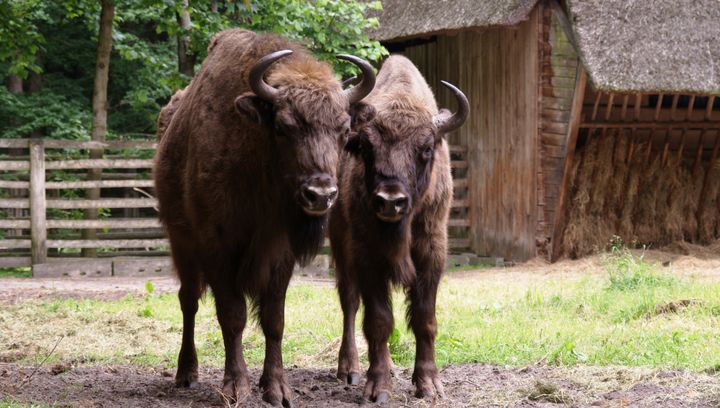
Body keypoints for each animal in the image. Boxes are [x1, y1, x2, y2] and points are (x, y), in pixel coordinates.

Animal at [154, 27, 374, 404]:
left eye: (344, 130)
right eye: (284, 127)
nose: (320, 194)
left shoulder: (280, 254)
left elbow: (274, 319)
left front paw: (276, 389)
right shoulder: (217, 247)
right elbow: (232, 316)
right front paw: (235, 387)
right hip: (181, 242)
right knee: (188, 302)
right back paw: (187, 374)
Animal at [330, 55, 470, 404]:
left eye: (426, 148)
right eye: (366, 146)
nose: (390, 200)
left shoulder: (431, 254)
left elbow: (424, 318)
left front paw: (429, 385)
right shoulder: (367, 256)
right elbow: (378, 320)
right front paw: (378, 388)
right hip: (340, 247)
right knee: (349, 303)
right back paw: (350, 369)